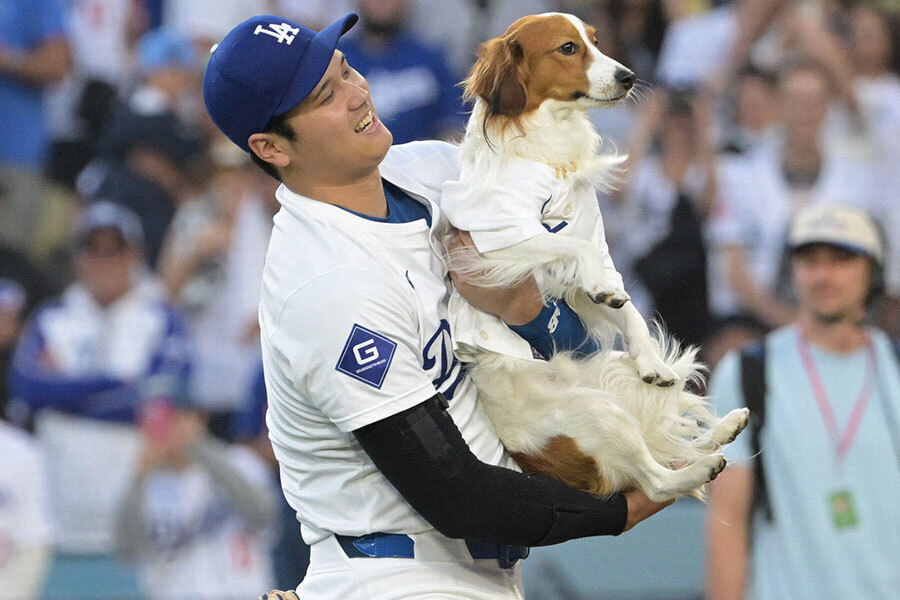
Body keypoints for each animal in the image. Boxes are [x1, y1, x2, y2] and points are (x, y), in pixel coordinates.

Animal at [440, 15, 748, 502]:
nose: (630, 76)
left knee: (665, 450)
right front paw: (604, 287)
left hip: (607, 375)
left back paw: (725, 427)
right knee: (657, 481)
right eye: (568, 48)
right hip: (598, 412)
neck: (551, 158)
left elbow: (627, 309)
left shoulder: (586, 265)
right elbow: (571, 247)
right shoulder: (495, 242)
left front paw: (652, 362)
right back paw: (703, 464)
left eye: (596, 41)